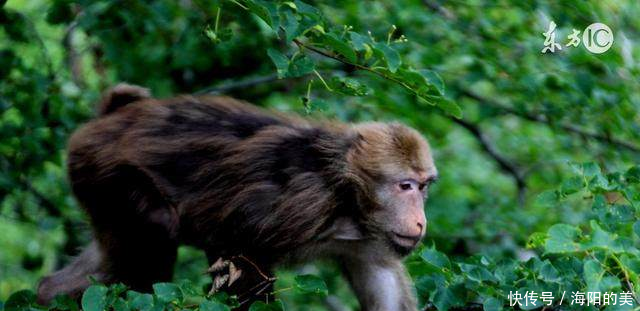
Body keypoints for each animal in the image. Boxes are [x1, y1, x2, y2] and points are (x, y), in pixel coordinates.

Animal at [37, 83, 438, 311]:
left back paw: (46, 293)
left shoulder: (374, 237)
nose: (421, 220)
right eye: (405, 186)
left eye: (424, 186)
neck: (348, 198)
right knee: (157, 226)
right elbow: (237, 253)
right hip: (105, 172)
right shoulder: (300, 206)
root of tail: (109, 117)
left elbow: (382, 284)